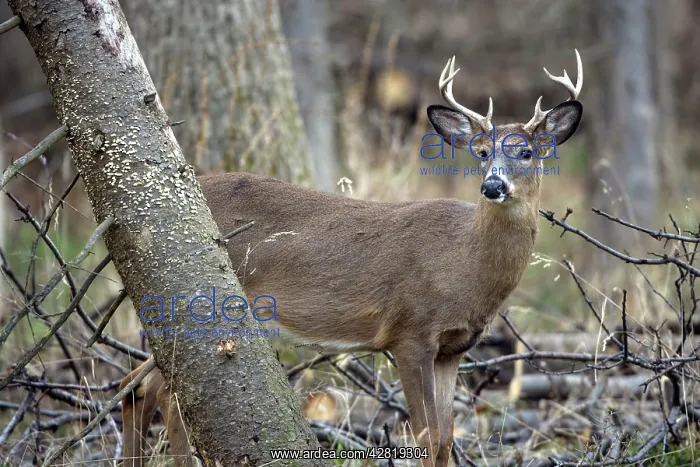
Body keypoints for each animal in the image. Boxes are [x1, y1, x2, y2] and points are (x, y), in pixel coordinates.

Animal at [120, 50, 583, 467]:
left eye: (527, 153)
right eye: (482, 152)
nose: (492, 187)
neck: (464, 262)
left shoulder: (452, 348)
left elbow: (447, 437)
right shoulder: (409, 332)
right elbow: (427, 436)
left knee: (139, 388)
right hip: (196, 303)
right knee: (155, 391)